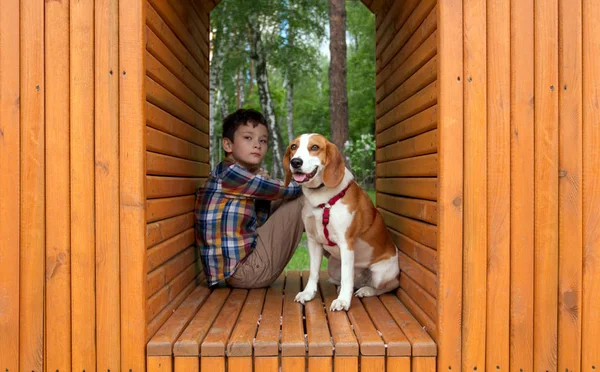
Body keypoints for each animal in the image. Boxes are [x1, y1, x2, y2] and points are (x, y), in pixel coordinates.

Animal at [284, 134, 400, 310]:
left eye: (315, 147)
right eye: (293, 147)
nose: (295, 162)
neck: (322, 198)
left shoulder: (346, 243)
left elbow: (347, 277)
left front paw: (343, 301)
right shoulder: (313, 240)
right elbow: (313, 272)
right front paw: (308, 293)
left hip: (380, 274)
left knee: (387, 286)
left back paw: (366, 290)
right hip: (333, 265)